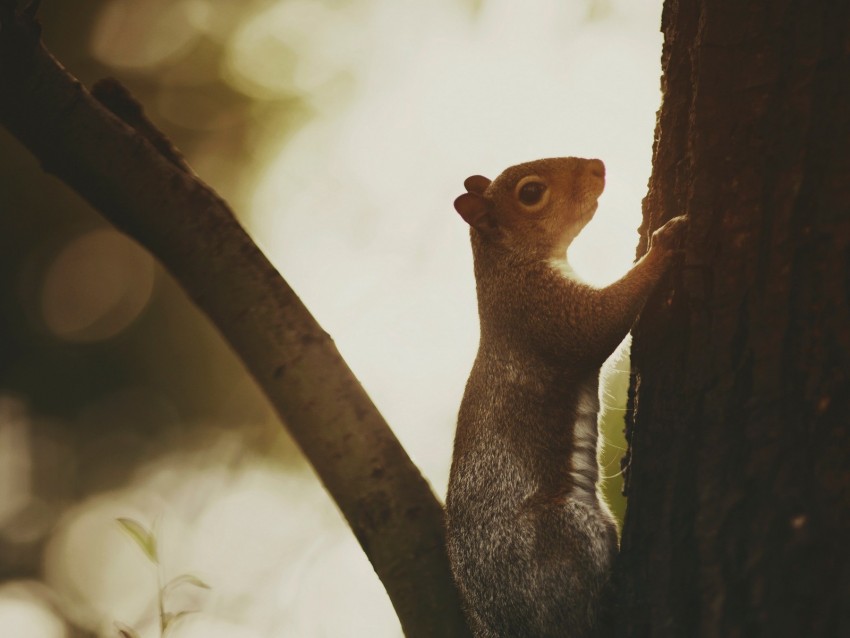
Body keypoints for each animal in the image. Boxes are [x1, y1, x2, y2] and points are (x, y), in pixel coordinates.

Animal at [440, 156, 684, 638]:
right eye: (531, 193)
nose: (598, 166)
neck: (510, 267)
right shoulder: (545, 313)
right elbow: (602, 322)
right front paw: (661, 245)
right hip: (567, 534)